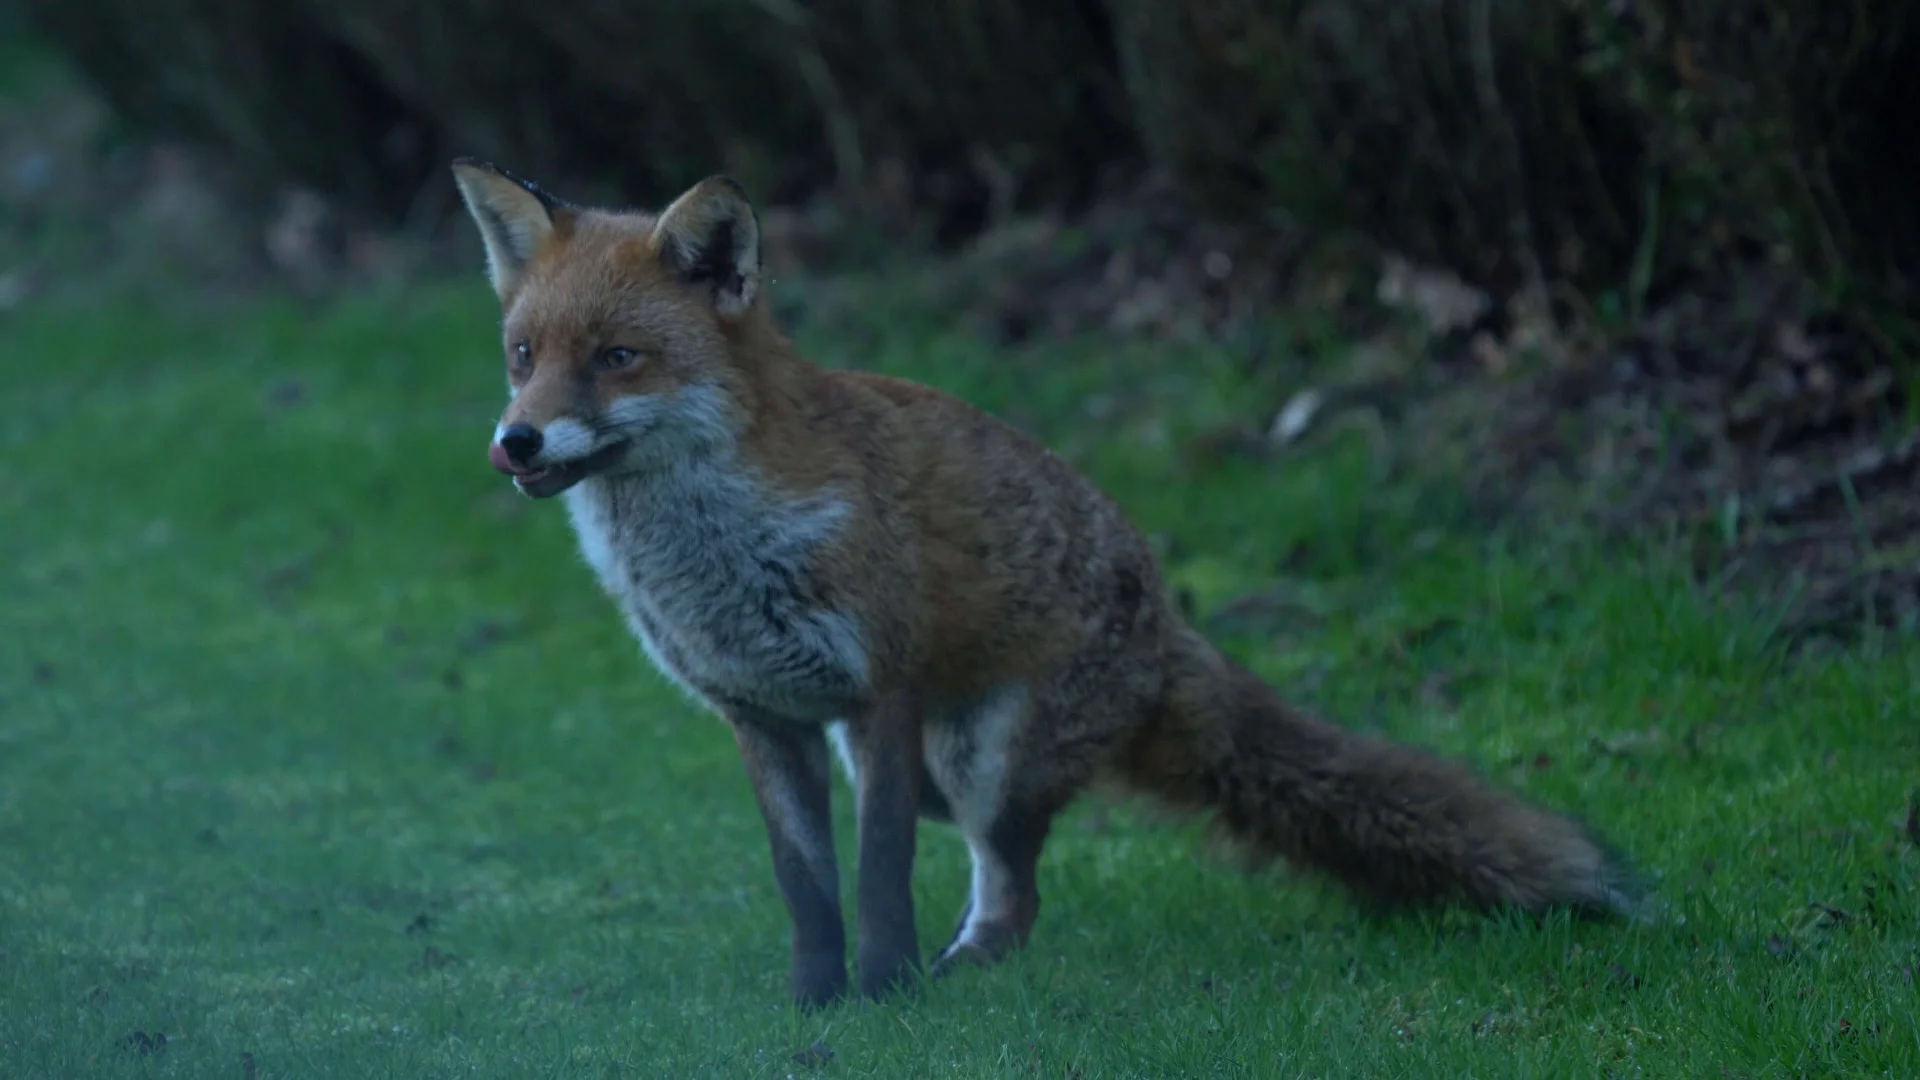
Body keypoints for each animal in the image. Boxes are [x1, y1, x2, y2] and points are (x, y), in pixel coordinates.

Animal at [448, 159, 1642, 1010]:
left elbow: (877, 872)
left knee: (1016, 890)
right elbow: (806, 884)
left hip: (979, 763)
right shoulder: (766, 716)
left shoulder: (881, 691)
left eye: (616, 359)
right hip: (942, 769)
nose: (514, 442)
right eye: (522, 356)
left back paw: (959, 972)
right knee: (1010, 880)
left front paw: (884, 998)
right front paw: (816, 1002)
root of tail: (1169, 624)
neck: (714, 552)